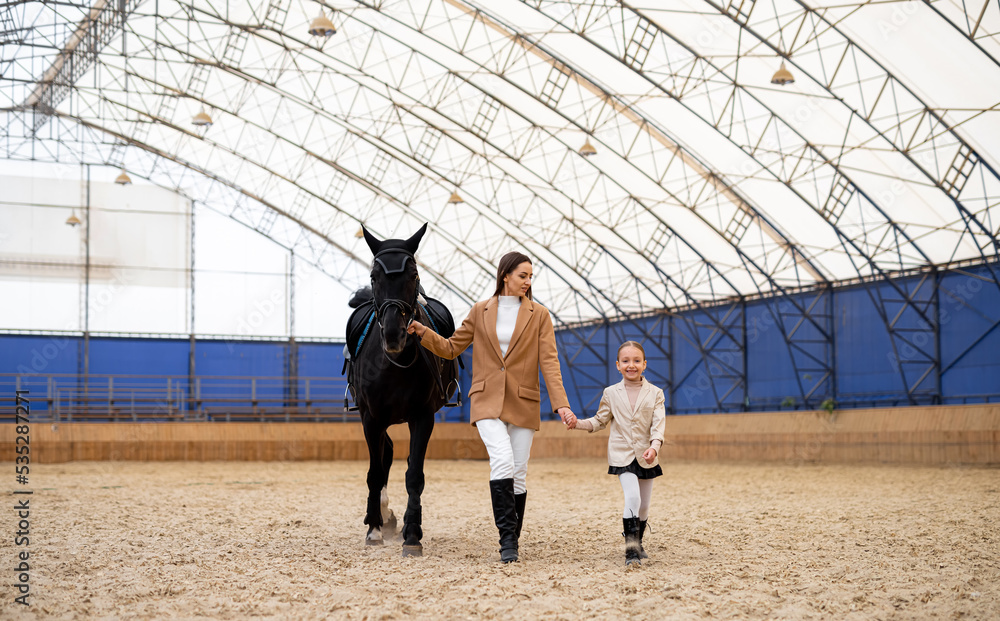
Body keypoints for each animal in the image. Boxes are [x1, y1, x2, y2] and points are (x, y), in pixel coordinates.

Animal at [340, 223, 458, 556]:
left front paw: (413, 535)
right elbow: (375, 472)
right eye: (373, 276)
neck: (395, 362)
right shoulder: (370, 417)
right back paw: (380, 515)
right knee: (384, 457)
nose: (395, 334)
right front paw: (374, 529)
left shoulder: (423, 416)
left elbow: (414, 474)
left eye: (414, 275)